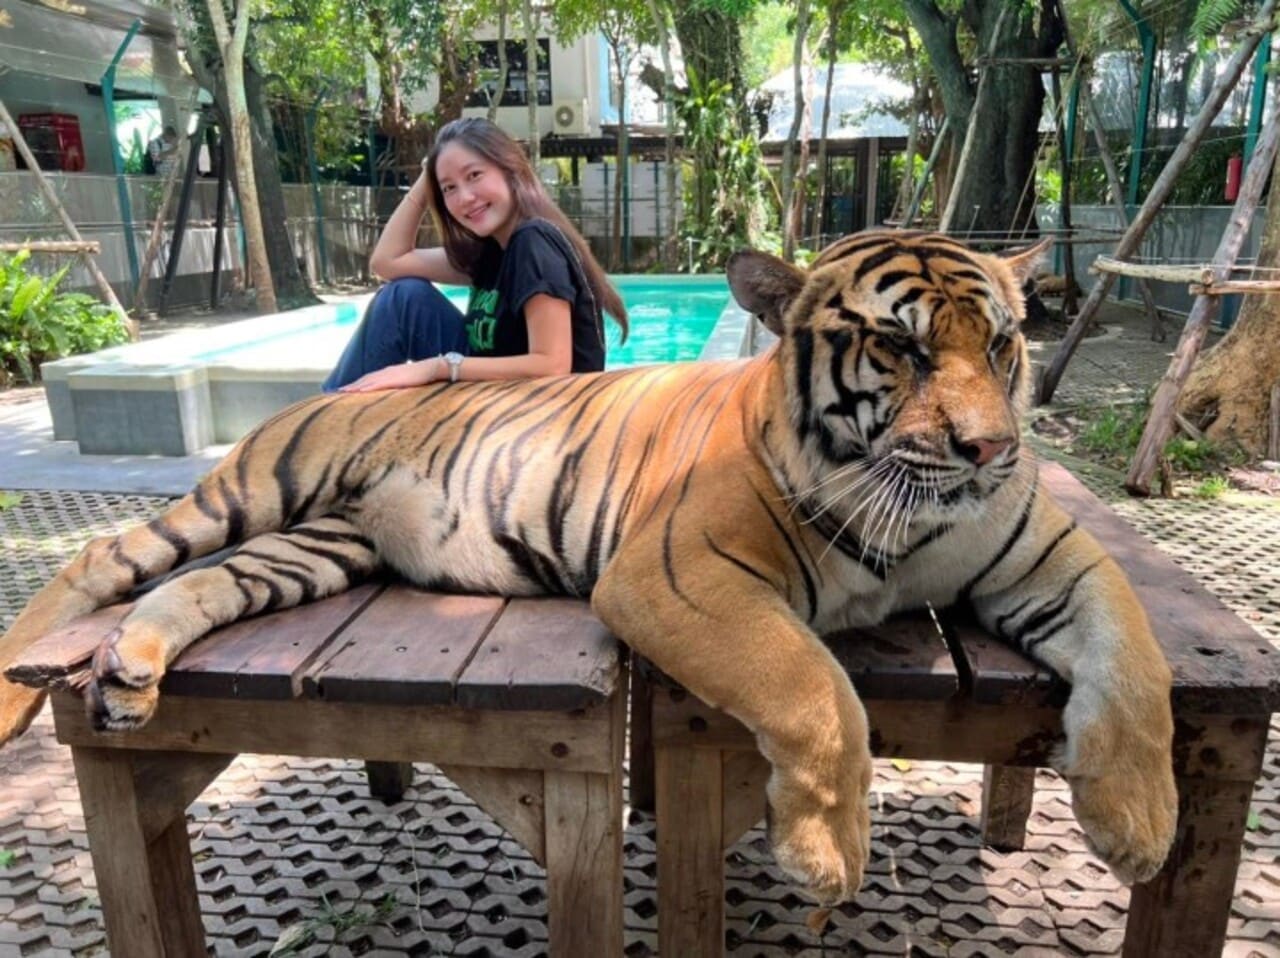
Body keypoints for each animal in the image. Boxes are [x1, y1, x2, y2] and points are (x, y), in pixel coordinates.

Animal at [0, 230, 1177, 905]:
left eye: (1004, 343)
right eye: (900, 348)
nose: (989, 451)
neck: (907, 511)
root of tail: (339, 389)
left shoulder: (1053, 556)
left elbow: (1140, 667)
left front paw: (1140, 829)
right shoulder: (682, 570)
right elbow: (814, 688)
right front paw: (825, 853)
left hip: (313, 548)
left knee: (189, 587)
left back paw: (129, 672)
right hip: (253, 491)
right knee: (104, 558)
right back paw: (23, 692)